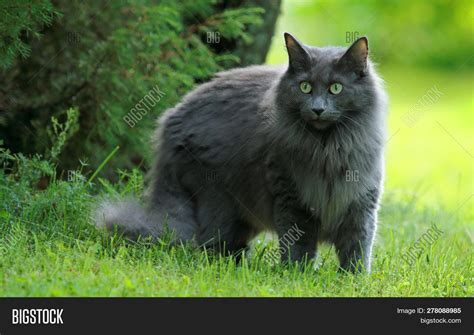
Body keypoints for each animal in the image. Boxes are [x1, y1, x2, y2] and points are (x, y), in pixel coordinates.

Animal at [94, 32, 386, 272]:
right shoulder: (290, 199)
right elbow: (298, 246)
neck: (327, 148)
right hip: (218, 201)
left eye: (336, 88)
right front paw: (297, 275)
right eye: (305, 87)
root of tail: (169, 124)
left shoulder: (361, 202)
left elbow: (358, 248)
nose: (318, 109)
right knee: (211, 244)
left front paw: (353, 280)